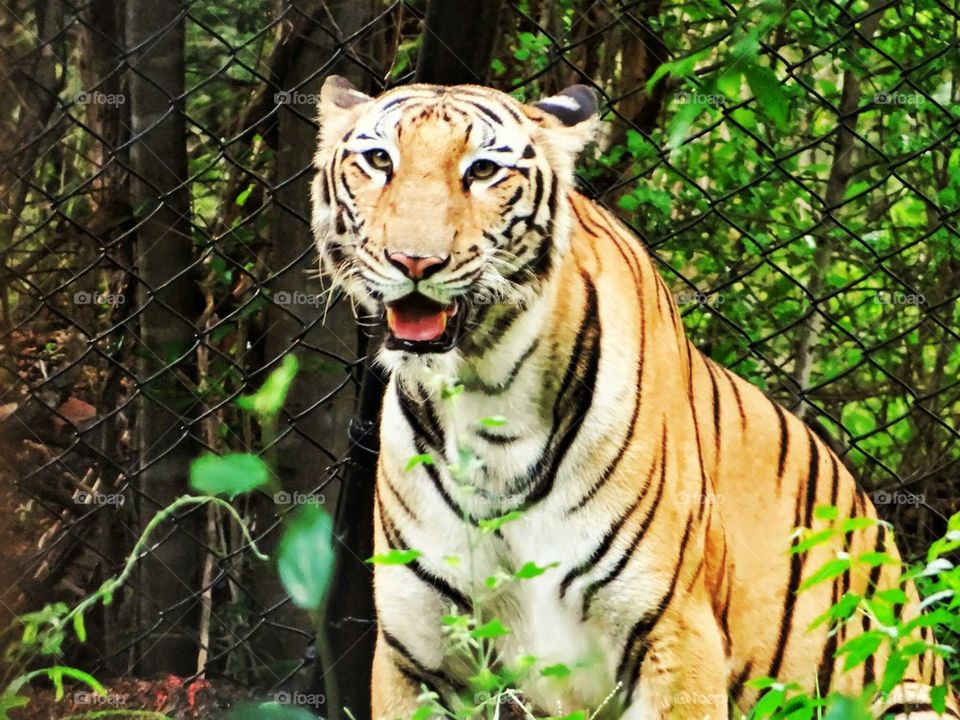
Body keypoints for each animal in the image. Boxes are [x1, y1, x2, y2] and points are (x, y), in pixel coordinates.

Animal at [310, 75, 956, 720]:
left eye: (483, 170)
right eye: (380, 161)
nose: (414, 261)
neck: (484, 394)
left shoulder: (675, 632)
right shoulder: (417, 654)